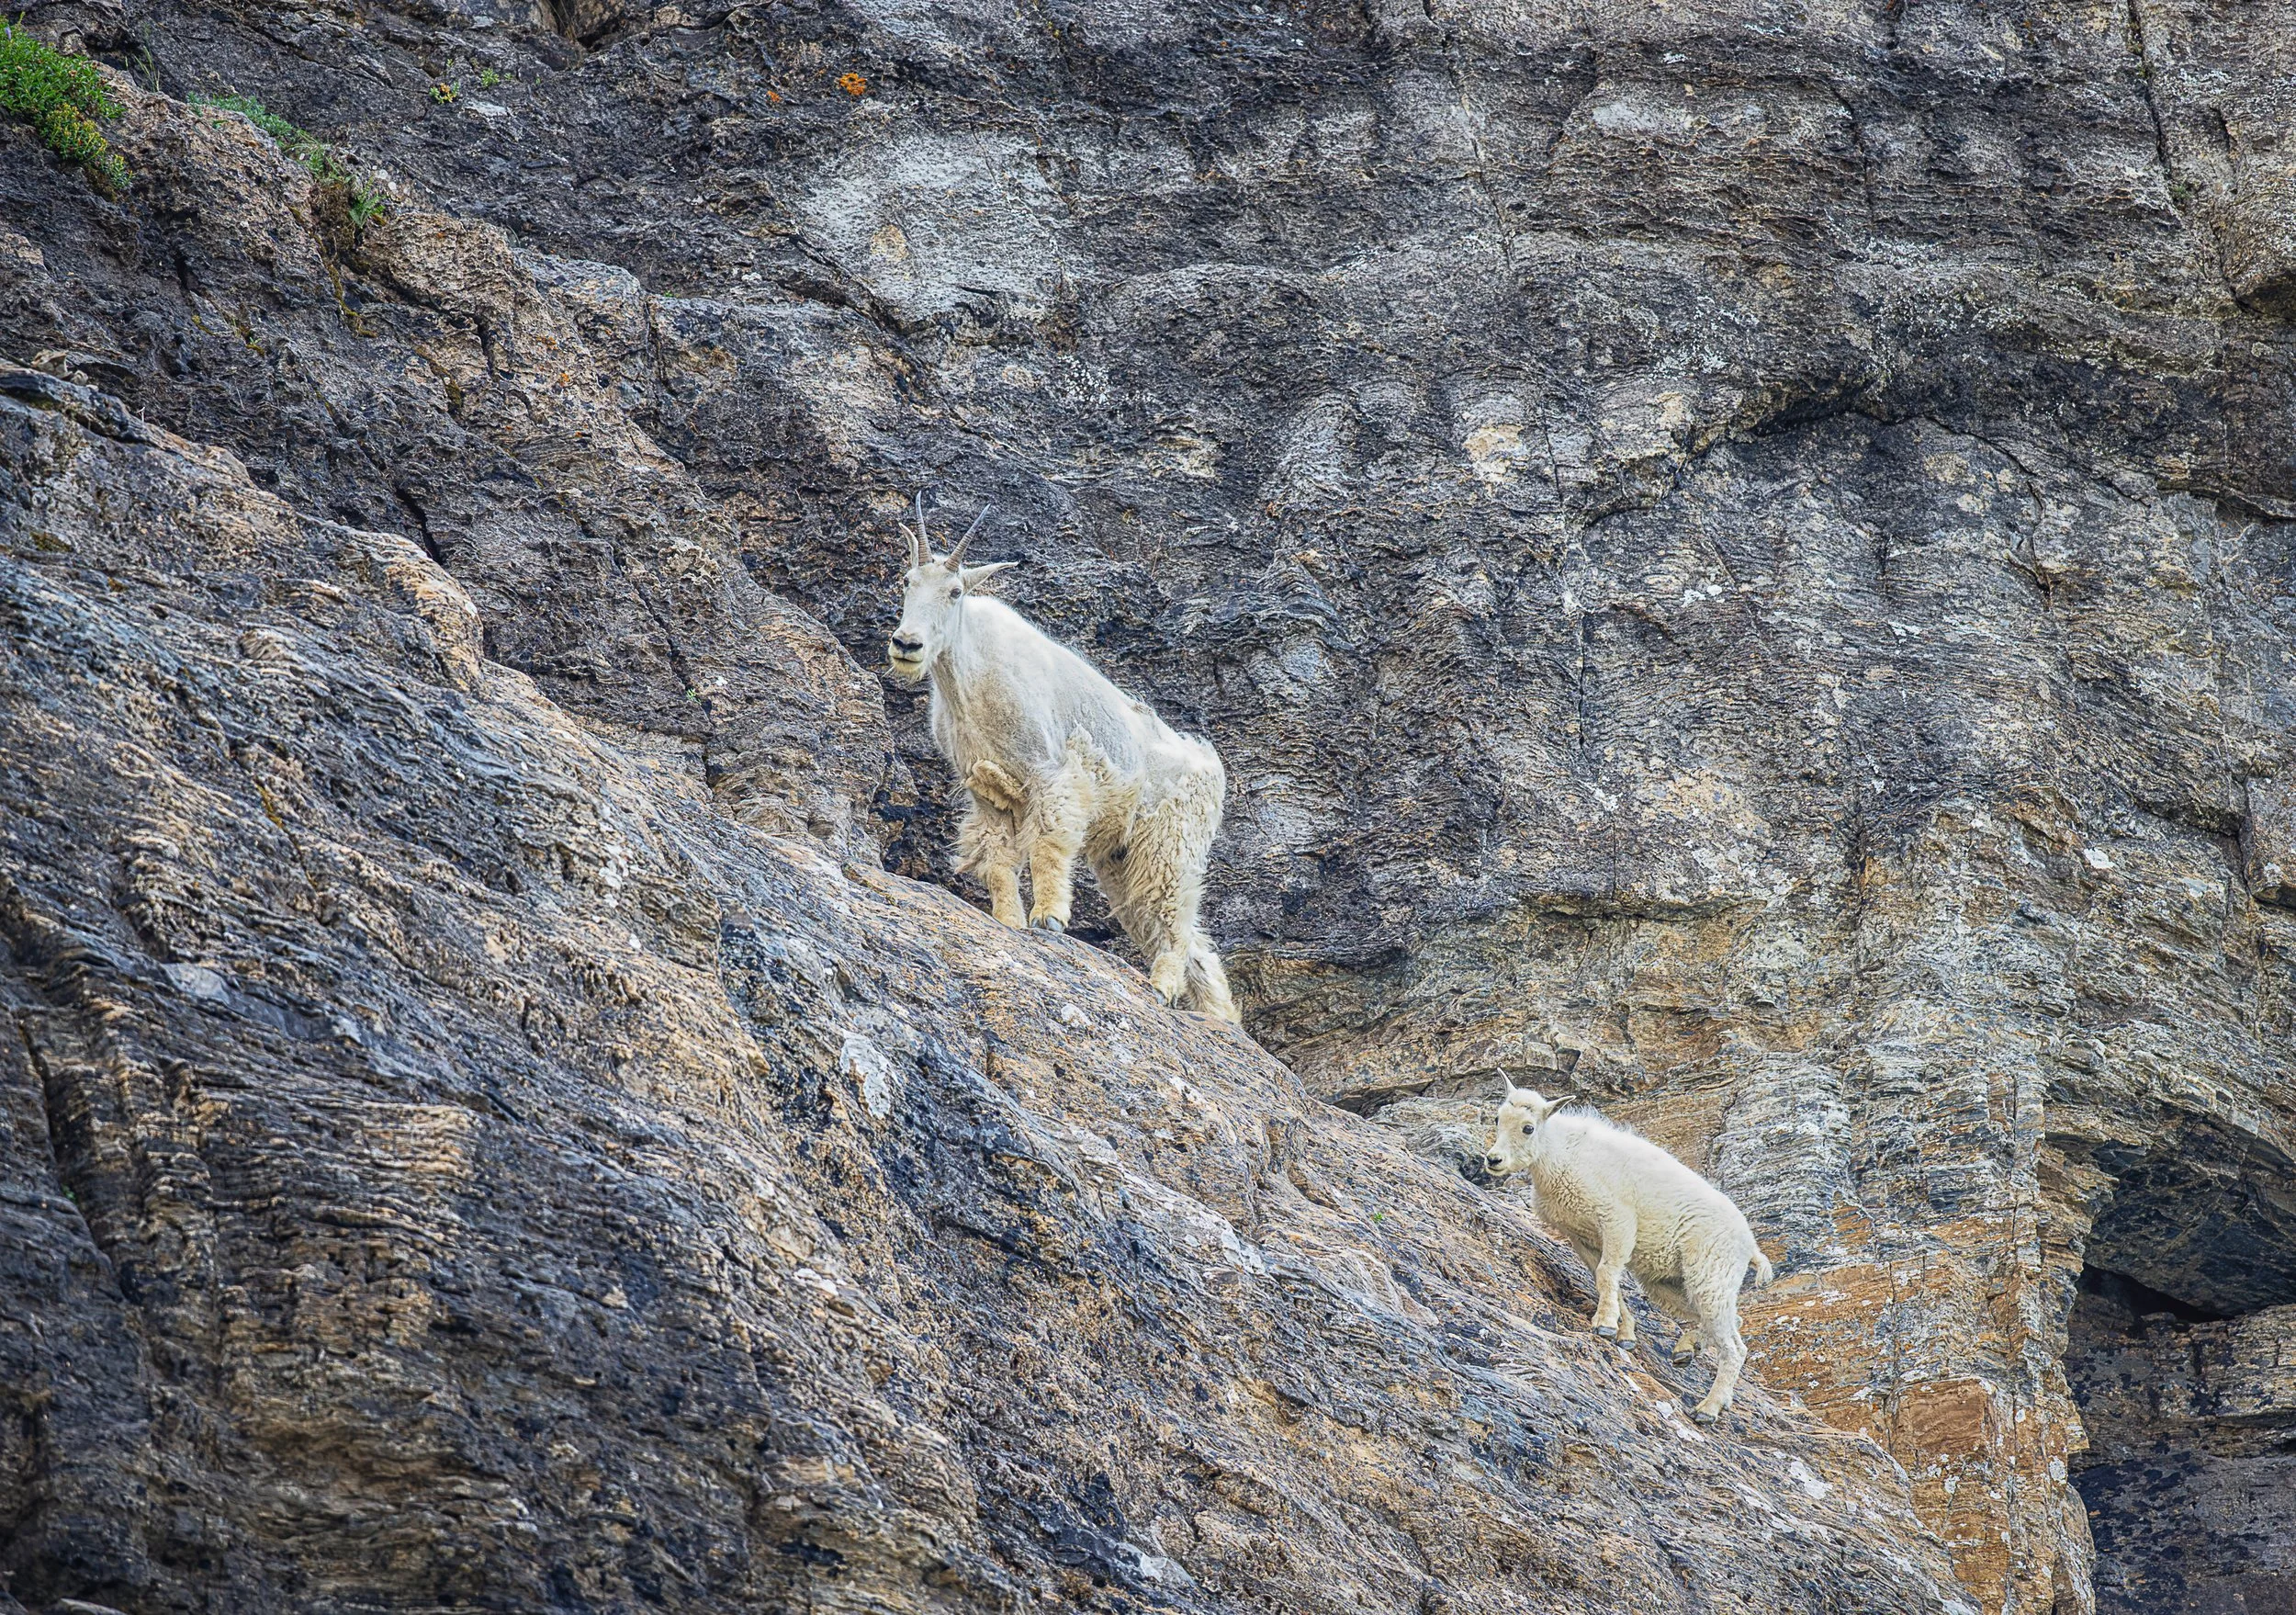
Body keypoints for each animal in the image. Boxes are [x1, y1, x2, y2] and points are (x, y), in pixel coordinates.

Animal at [885, 496, 1239, 1023]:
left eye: (954, 591)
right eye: (907, 581)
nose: (907, 644)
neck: (971, 680)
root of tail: (1213, 770)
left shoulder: (1053, 774)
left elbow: (1049, 844)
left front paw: (1048, 917)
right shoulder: (986, 791)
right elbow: (996, 857)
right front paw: (1008, 921)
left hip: (1173, 841)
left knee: (1173, 911)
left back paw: (1162, 988)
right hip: (1121, 859)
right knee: (1176, 928)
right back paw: (1215, 1014)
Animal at [1484, 1087, 1773, 1422]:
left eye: (1528, 1127)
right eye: (1498, 1118)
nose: (1493, 1160)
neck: (1561, 1154)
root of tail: (1751, 1246)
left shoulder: (1617, 1220)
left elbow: (1607, 1272)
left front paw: (1606, 1324)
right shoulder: (1583, 1237)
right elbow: (1605, 1278)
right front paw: (1624, 1333)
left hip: (1711, 1272)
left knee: (1734, 1346)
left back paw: (1709, 1407)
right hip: (1674, 1283)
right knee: (1730, 1322)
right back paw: (1688, 1352)